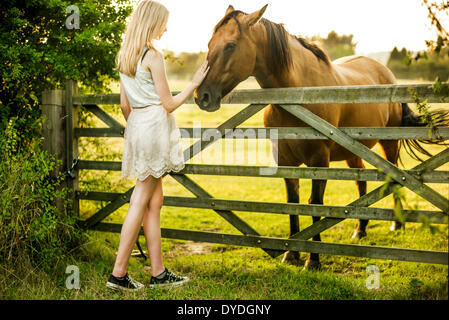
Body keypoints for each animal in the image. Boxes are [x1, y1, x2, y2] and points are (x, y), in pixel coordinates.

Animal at [195, 5, 448, 270]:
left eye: (230, 45)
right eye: (210, 43)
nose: (202, 96)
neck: (297, 94)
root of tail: (387, 75)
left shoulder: (319, 161)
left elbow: (315, 203)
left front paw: (313, 259)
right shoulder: (286, 162)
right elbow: (292, 203)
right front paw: (291, 253)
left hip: (388, 144)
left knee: (394, 181)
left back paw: (396, 224)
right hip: (352, 152)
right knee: (361, 182)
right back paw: (360, 229)